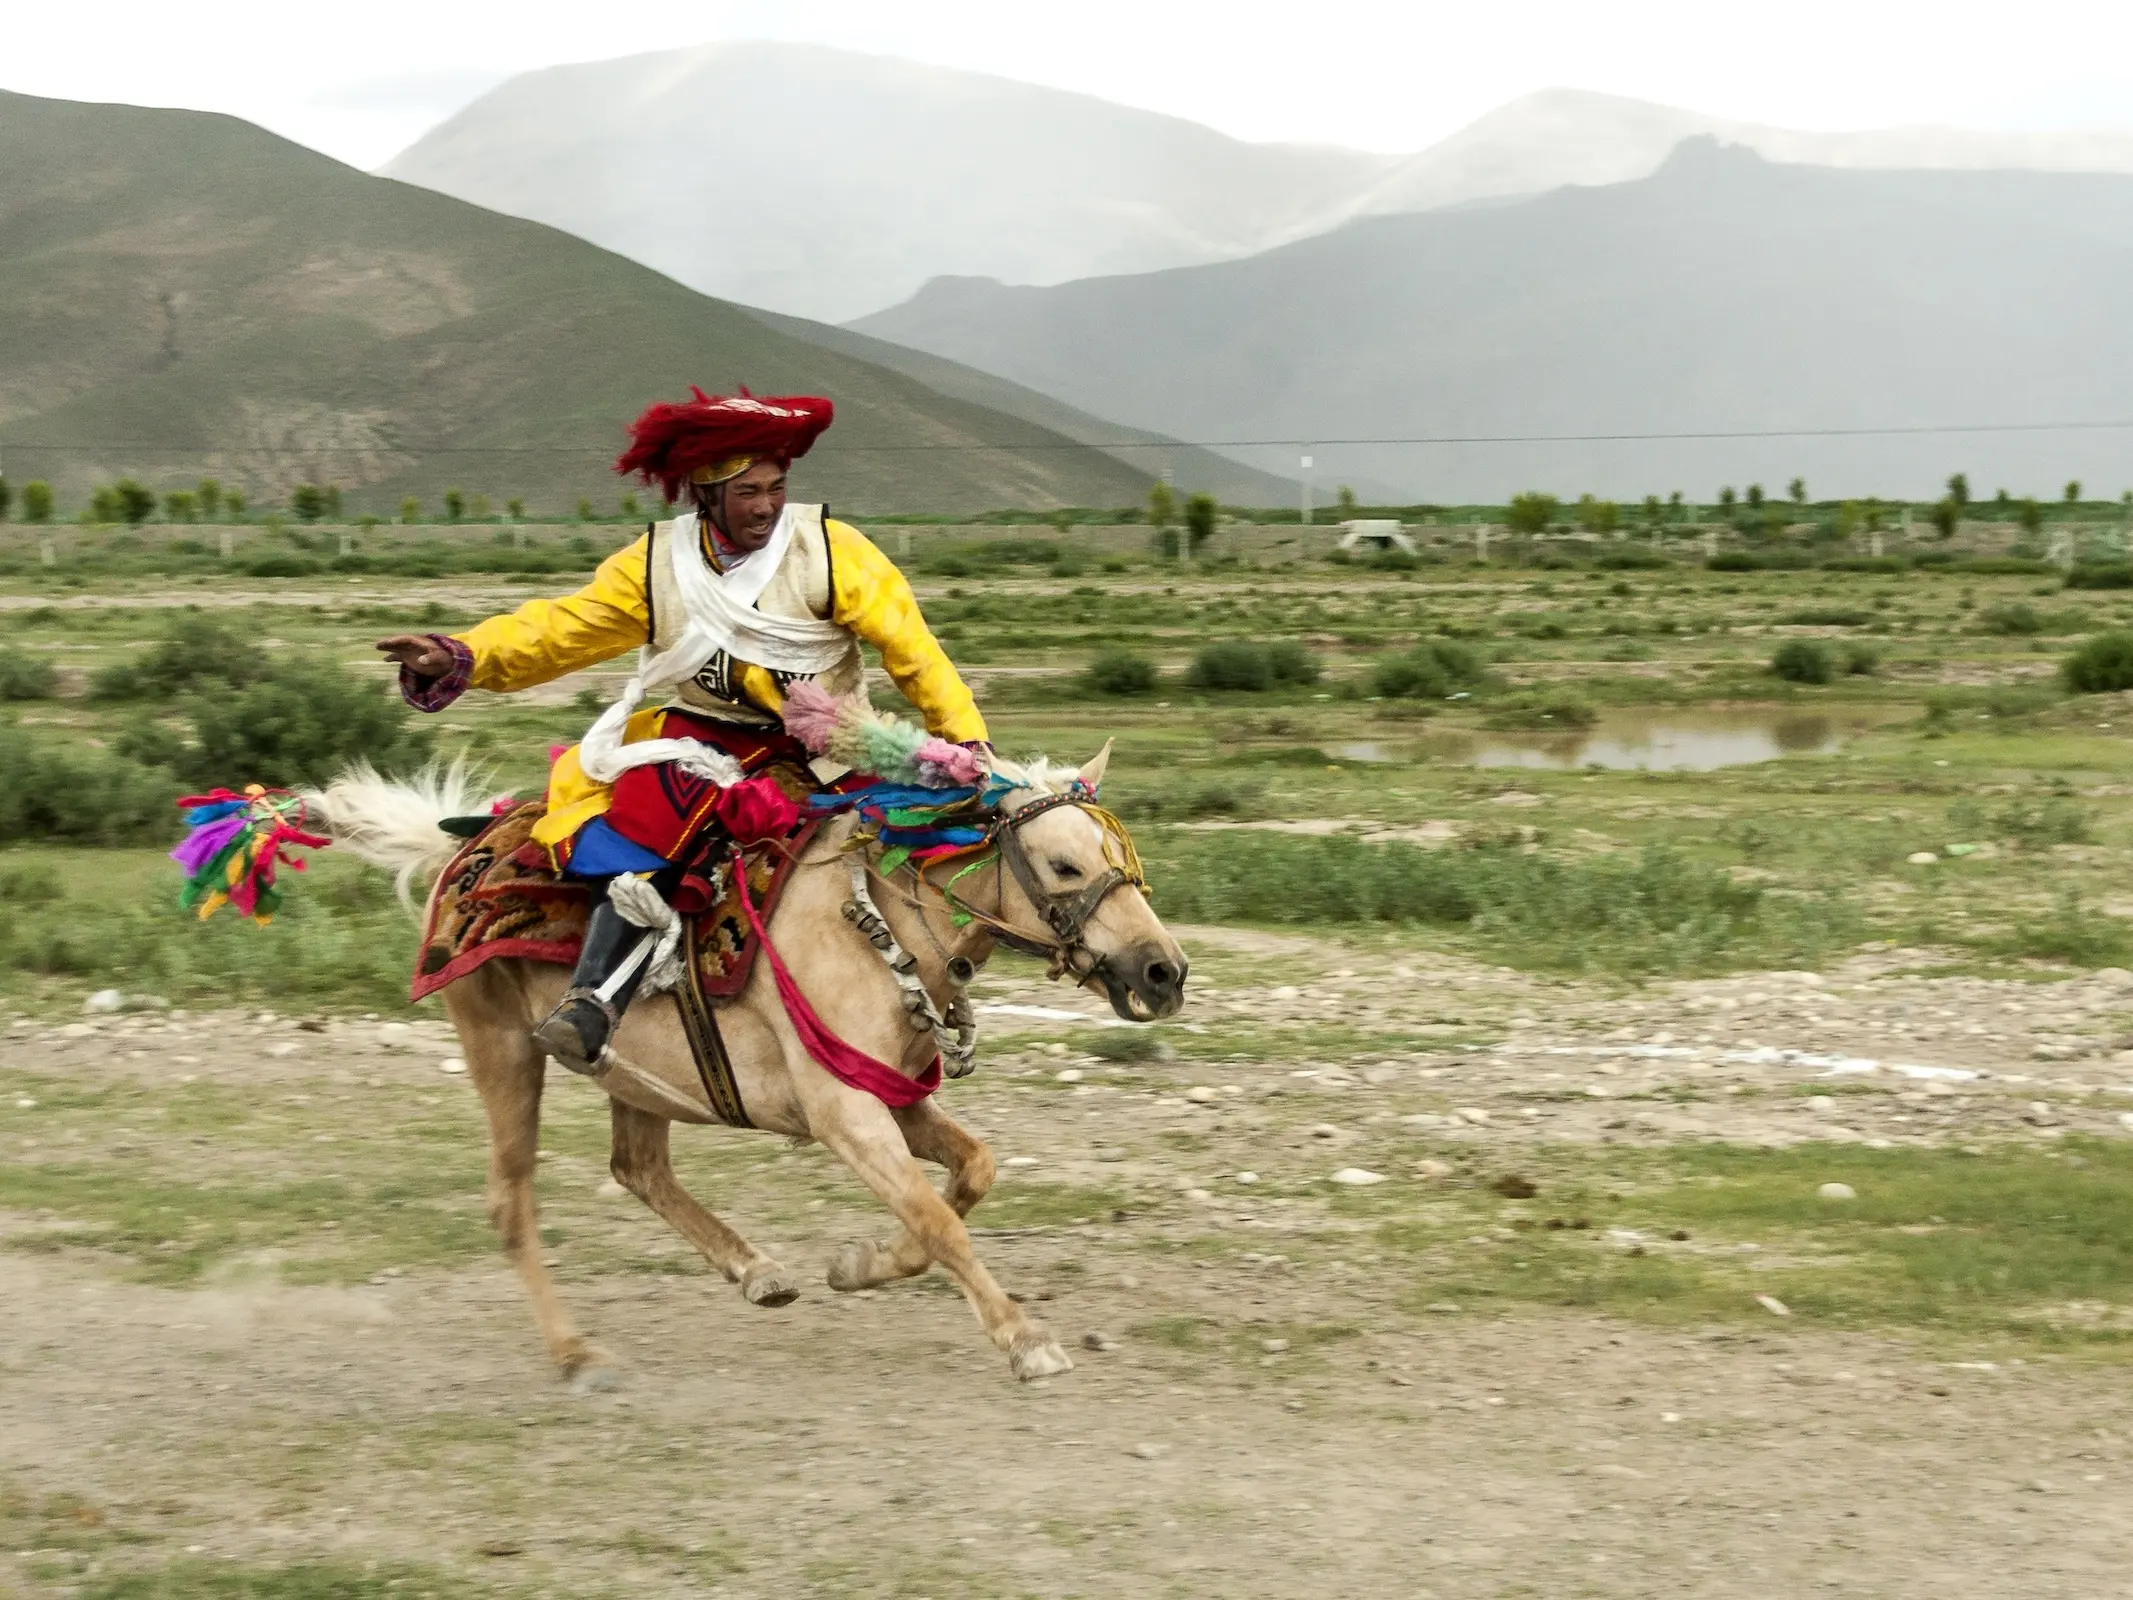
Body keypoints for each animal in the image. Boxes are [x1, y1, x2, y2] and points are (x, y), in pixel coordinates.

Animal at [311, 750, 1194, 1390]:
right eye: (1062, 865)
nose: (1163, 972)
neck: (873, 929)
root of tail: (462, 849)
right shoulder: (847, 1114)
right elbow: (937, 1219)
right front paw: (1022, 1338)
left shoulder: (896, 1102)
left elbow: (970, 1176)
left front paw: (858, 1267)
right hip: (502, 1048)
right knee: (512, 1201)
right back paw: (576, 1354)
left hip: (632, 1070)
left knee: (637, 1168)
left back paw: (756, 1271)